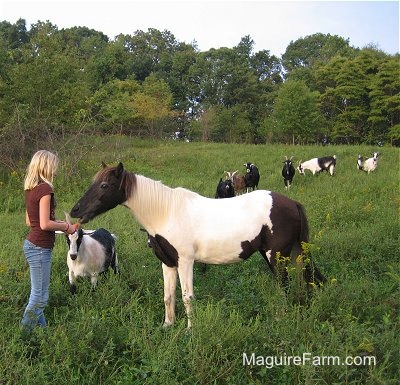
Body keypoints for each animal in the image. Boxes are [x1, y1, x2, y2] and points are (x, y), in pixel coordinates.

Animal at [70, 162, 326, 328]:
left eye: (105, 185)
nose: (76, 210)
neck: (166, 213)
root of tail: (292, 203)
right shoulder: (168, 263)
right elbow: (168, 295)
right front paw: (168, 325)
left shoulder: (186, 262)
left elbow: (187, 297)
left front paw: (190, 331)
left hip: (277, 257)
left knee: (284, 286)